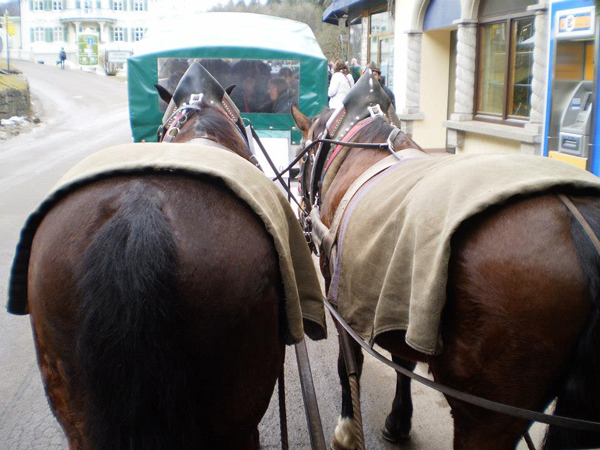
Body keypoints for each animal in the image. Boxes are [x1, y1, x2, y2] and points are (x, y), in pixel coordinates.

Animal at [290, 70, 600, 450]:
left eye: (302, 161)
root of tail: (578, 227)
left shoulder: (342, 299)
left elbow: (349, 364)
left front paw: (348, 429)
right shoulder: (399, 293)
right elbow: (403, 358)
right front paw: (399, 419)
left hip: (487, 413)